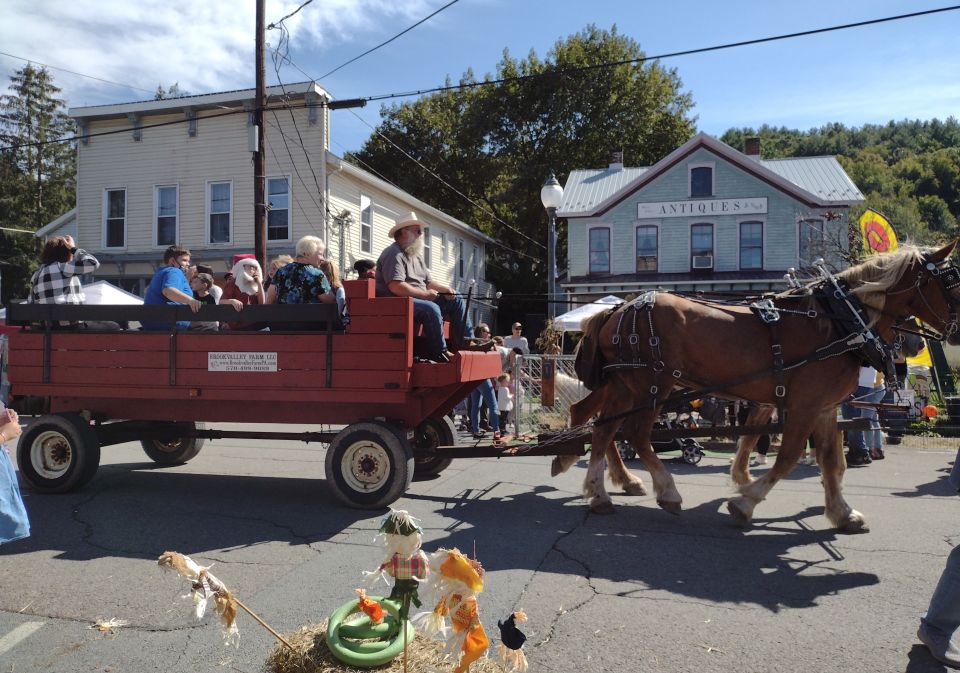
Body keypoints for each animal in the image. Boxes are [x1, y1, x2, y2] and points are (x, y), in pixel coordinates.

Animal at [556, 242, 960, 532]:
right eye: (950, 282)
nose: (916, 346)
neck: (840, 322)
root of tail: (617, 310)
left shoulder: (823, 406)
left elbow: (832, 461)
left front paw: (843, 513)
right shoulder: (803, 405)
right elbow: (788, 456)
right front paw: (744, 501)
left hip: (629, 385)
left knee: (604, 427)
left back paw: (601, 491)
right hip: (651, 385)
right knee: (633, 433)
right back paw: (663, 491)